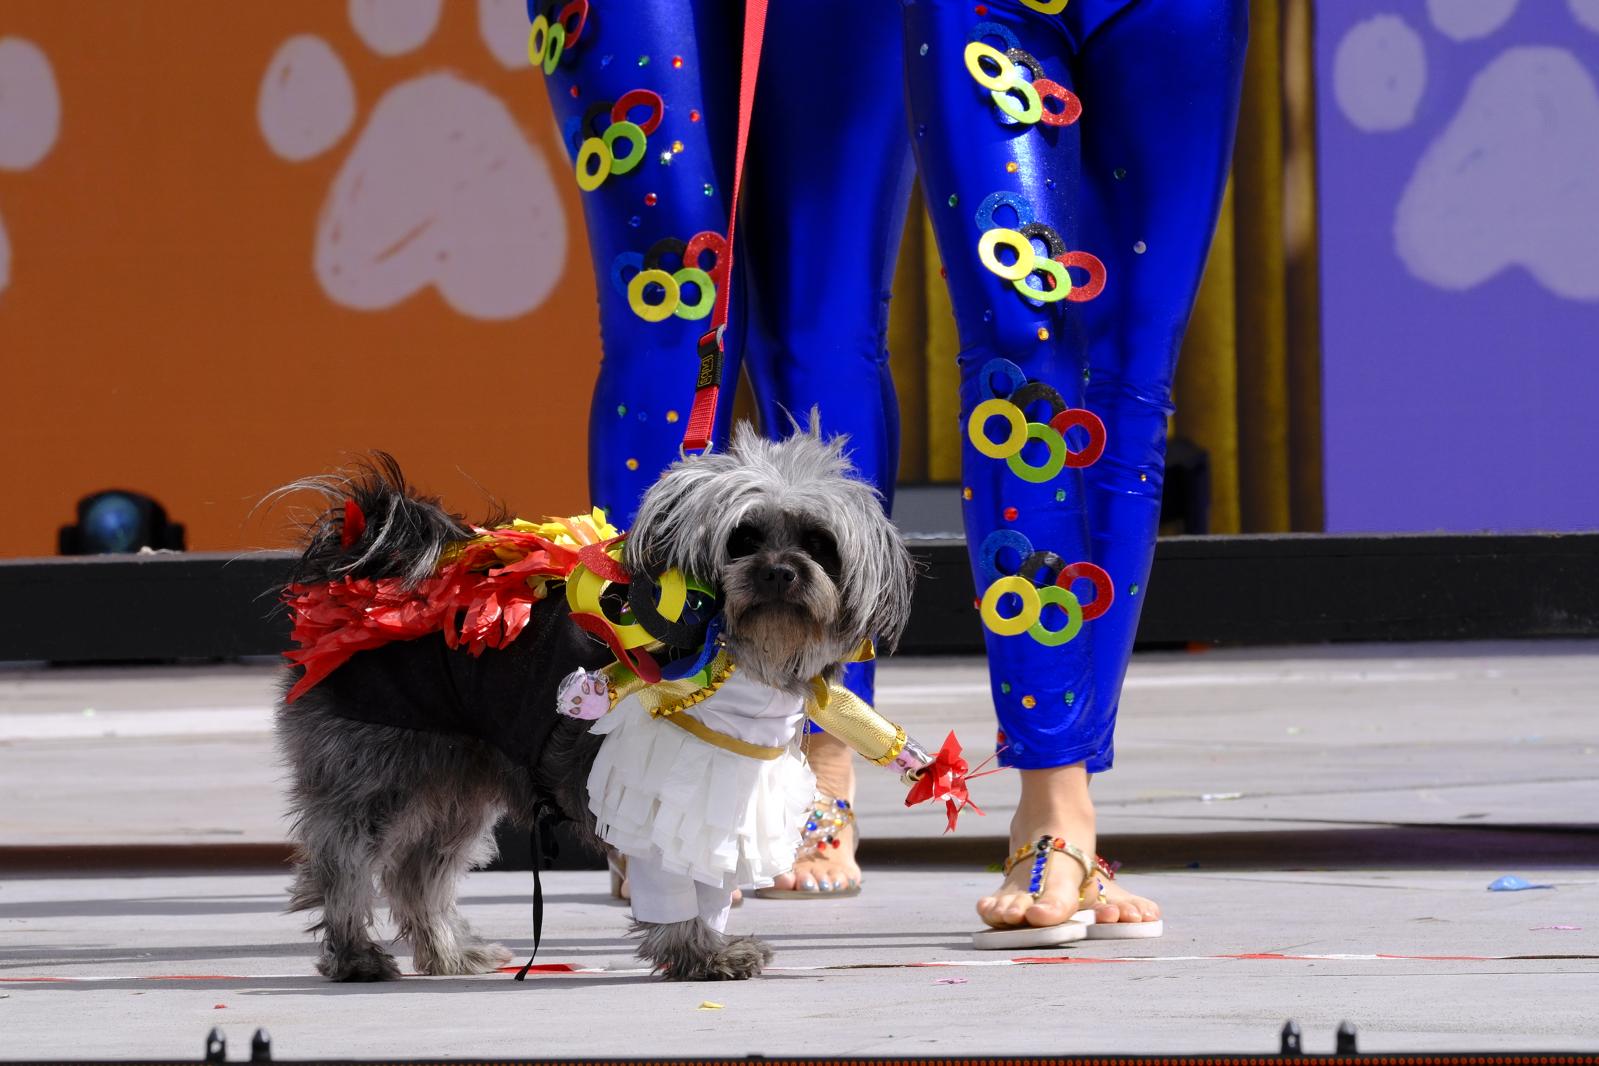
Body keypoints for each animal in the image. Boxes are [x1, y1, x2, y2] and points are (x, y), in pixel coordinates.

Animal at [278, 421, 914, 984]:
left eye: (819, 544)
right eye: (743, 539)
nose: (780, 572)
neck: (733, 661)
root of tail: (365, 577)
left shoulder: (718, 796)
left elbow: (707, 882)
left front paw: (709, 947)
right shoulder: (664, 798)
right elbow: (674, 888)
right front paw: (698, 954)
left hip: (455, 786)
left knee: (417, 875)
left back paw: (450, 953)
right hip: (377, 775)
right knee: (344, 865)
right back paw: (355, 956)